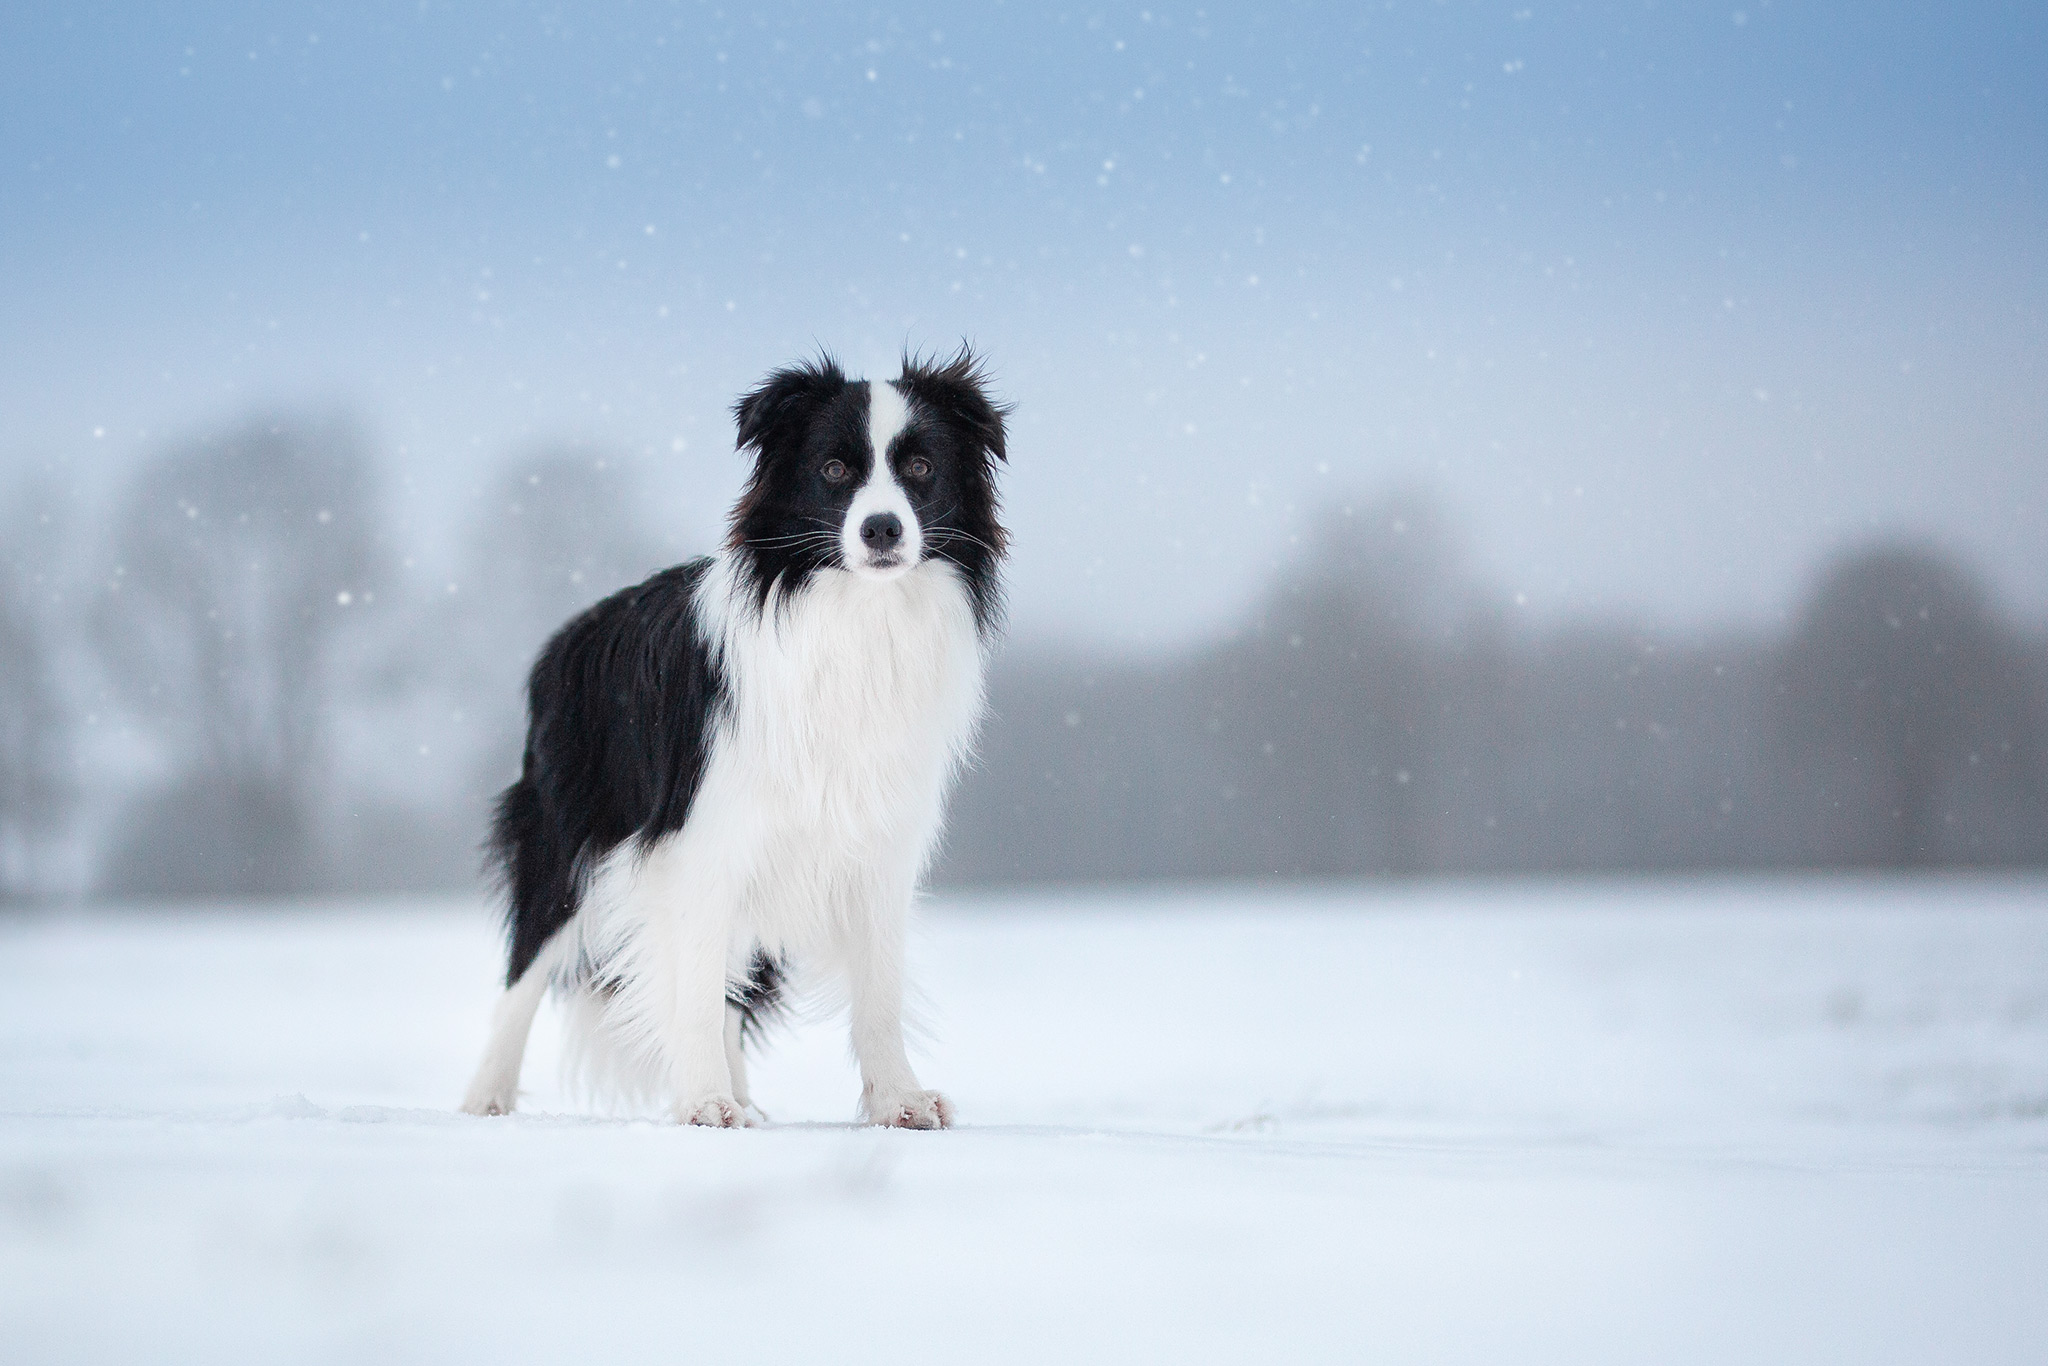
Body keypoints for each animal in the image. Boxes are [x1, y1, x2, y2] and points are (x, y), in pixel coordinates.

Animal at [462, 352, 1007, 1130]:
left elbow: (878, 992)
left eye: (922, 467)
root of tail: (569, 636)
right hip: (563, 839)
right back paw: (486, 1100)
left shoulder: (876, 843)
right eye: (834, 469)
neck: (853, 618)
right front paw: (702, 1104)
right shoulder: (699, 839)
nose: (881, 529)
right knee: (527, 967)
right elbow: (689, 992)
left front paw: (898, 1102)